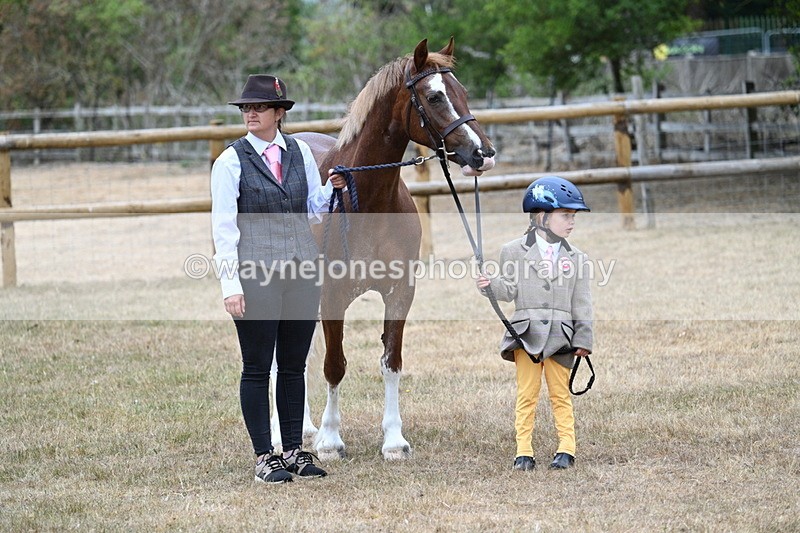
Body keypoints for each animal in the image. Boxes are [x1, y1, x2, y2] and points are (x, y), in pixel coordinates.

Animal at [295, 37, 495, 461]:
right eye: (434, 96)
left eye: (463, 93)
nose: (482, 154)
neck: (366, 198)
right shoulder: (332, 297)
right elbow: (334, 365)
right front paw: (331, 440)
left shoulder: (400, 293)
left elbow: (392, 362)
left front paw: (393, 440)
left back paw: (303, 427)